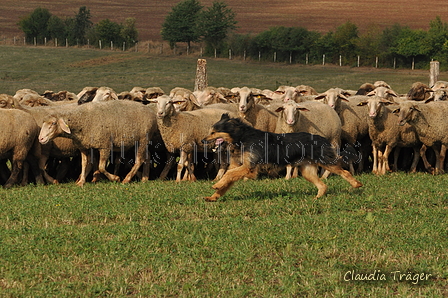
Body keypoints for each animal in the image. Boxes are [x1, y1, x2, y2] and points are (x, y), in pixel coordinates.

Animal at [201, 114, 362, 203]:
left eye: (214, 132)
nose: (202, 141)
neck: (241, 138)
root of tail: (321, 138)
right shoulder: (239, 167)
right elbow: (227, 180)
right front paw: (214, 196)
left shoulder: (249, 168)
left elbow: (228, 174)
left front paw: (216, 185)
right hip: (307, 171)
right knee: (323, 185)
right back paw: (317, 198)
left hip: (325, 161)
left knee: (344, 171)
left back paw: (356, 184)